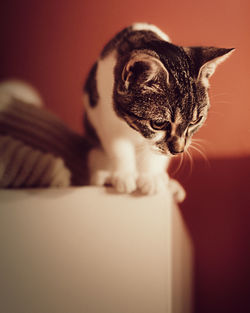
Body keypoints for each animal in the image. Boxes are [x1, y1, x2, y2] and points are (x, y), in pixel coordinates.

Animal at [83, 23, 233, 195]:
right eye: (159, 123)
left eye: (195, 121)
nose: (178, 151)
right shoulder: (106, 114)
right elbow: (118, 146)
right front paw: (124, 175)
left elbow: (154, 154)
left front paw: (151, 178)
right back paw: (103, 177)